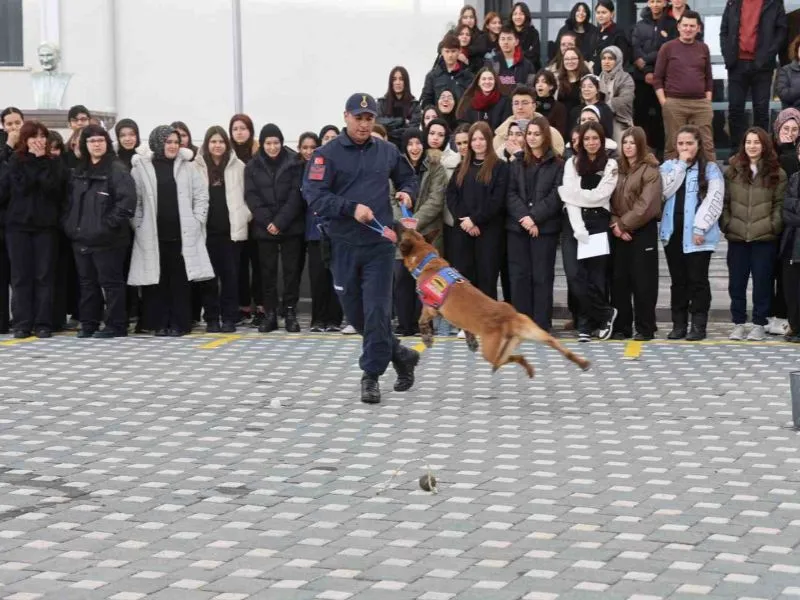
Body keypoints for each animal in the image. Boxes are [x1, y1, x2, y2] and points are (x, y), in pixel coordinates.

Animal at [395, 225, 590, 376]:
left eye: (403, 230)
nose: (397, 223)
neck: (427, 260)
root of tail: (508, 318)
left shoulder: (430, 308)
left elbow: (421, 321)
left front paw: (427, 338)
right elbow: (467, 329)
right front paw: (470, 341)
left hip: (491, 352)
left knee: (509, 359)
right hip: (535, 332)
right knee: (555, 346)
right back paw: (581, 363)